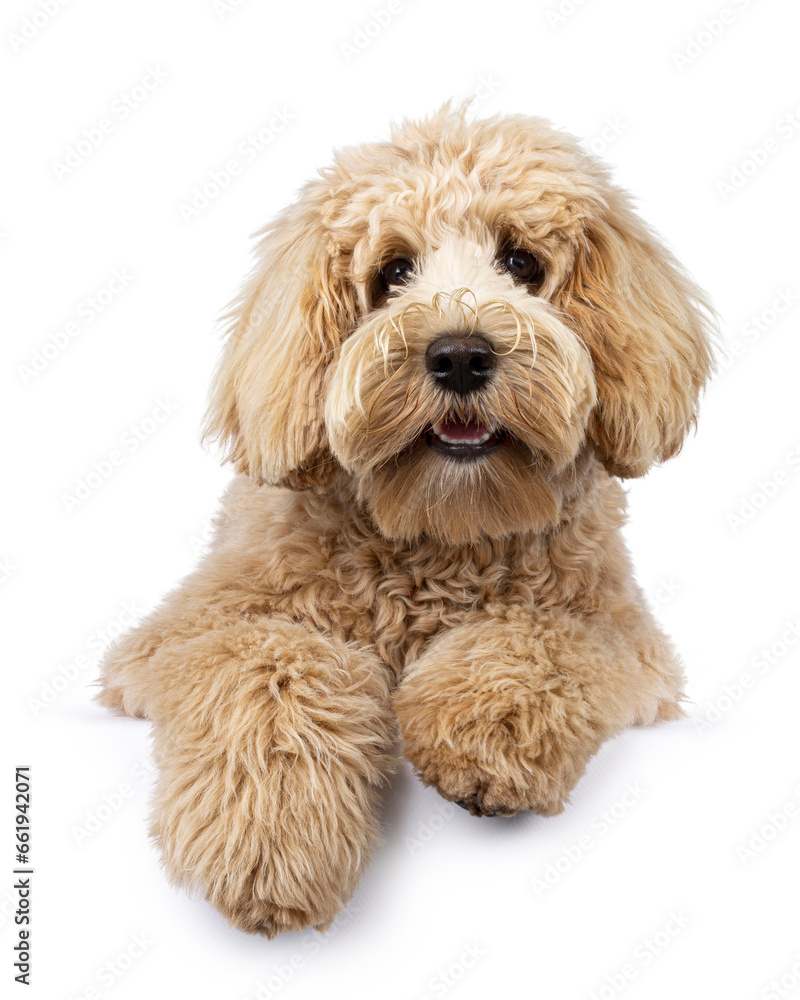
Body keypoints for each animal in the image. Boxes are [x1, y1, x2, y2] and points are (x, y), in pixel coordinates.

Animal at [97, 107, 716, 936]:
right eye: (393, 272)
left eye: (521, 262)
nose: (459, 355)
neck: (437, 537)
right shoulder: (178, 636)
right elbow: (269, 657)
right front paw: (272, 840)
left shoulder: (625, 641)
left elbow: (540, 635)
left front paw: (482, 734)